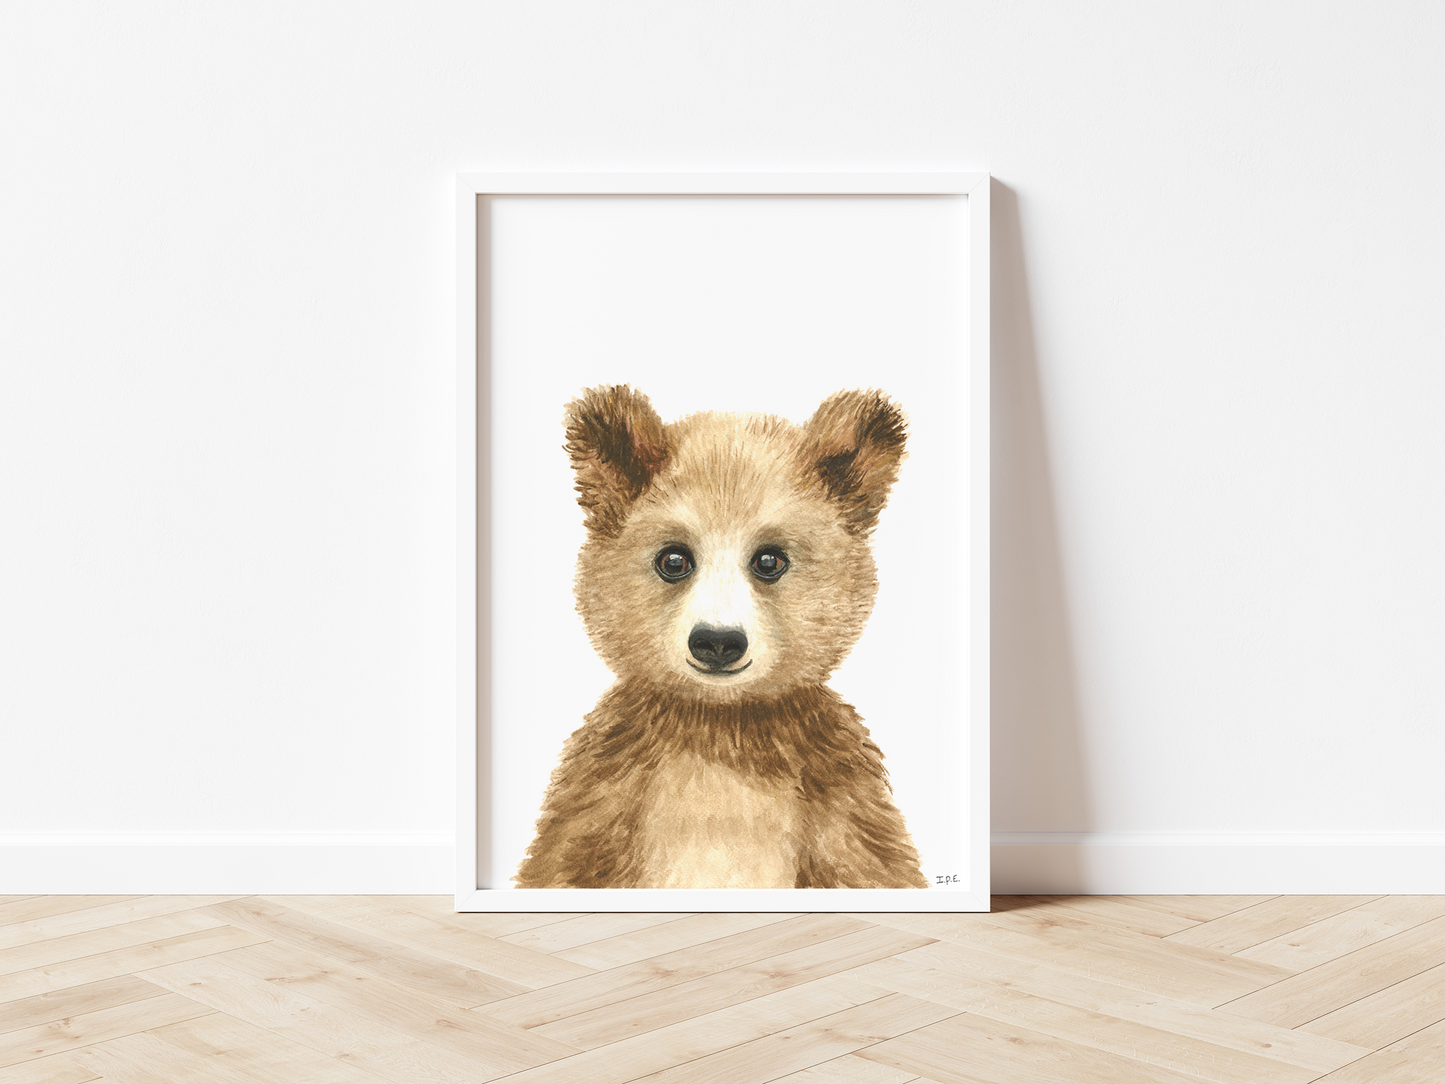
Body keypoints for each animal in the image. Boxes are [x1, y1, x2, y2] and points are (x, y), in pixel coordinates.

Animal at [514, 384, 927, 890]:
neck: (722, 727)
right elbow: (559, 865)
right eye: (674, 560)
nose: (717, 642)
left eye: (769, 560)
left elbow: (876, 869)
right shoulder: (602, 793)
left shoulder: (841, 798)